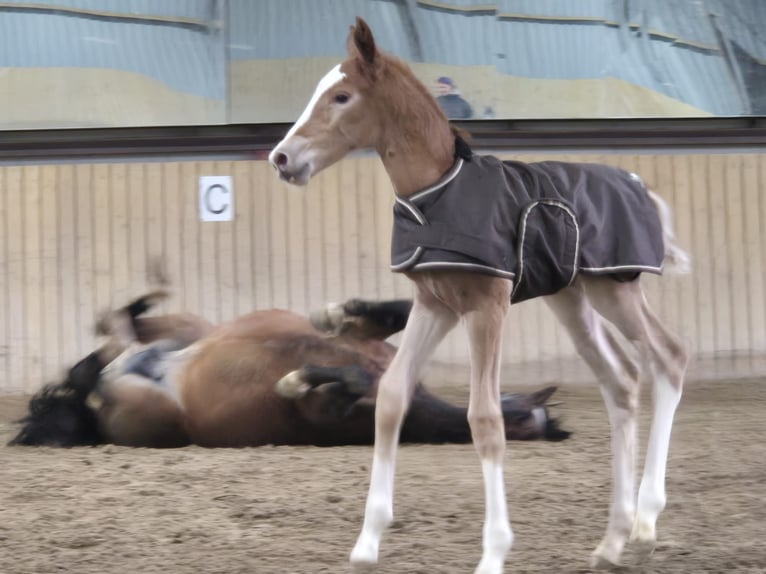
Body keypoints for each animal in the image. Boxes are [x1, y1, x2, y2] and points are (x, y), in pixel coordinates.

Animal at [10, 291, 569, 449]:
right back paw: (136, 307)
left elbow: (346, 381)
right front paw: (336, 313)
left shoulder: (333, 408)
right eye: (529, 417)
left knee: (98, 367)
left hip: (143, 397)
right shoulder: (377, 344)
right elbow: (396, 311)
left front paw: (296, 376)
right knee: (112, 344)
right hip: (189, 329)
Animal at [268, 17, 690, 572]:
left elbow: (485, 419)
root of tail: (640, 185)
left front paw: (493, 553)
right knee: (620, 383)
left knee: (670, 356)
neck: (437, 195)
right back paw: (612, 540)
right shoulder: (436, 305)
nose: (282, 158)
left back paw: (644, 523)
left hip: (613, 290)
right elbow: (392, 396)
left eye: (341, 96)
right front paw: (367, 542)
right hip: (572, 300)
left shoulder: (486, 307)